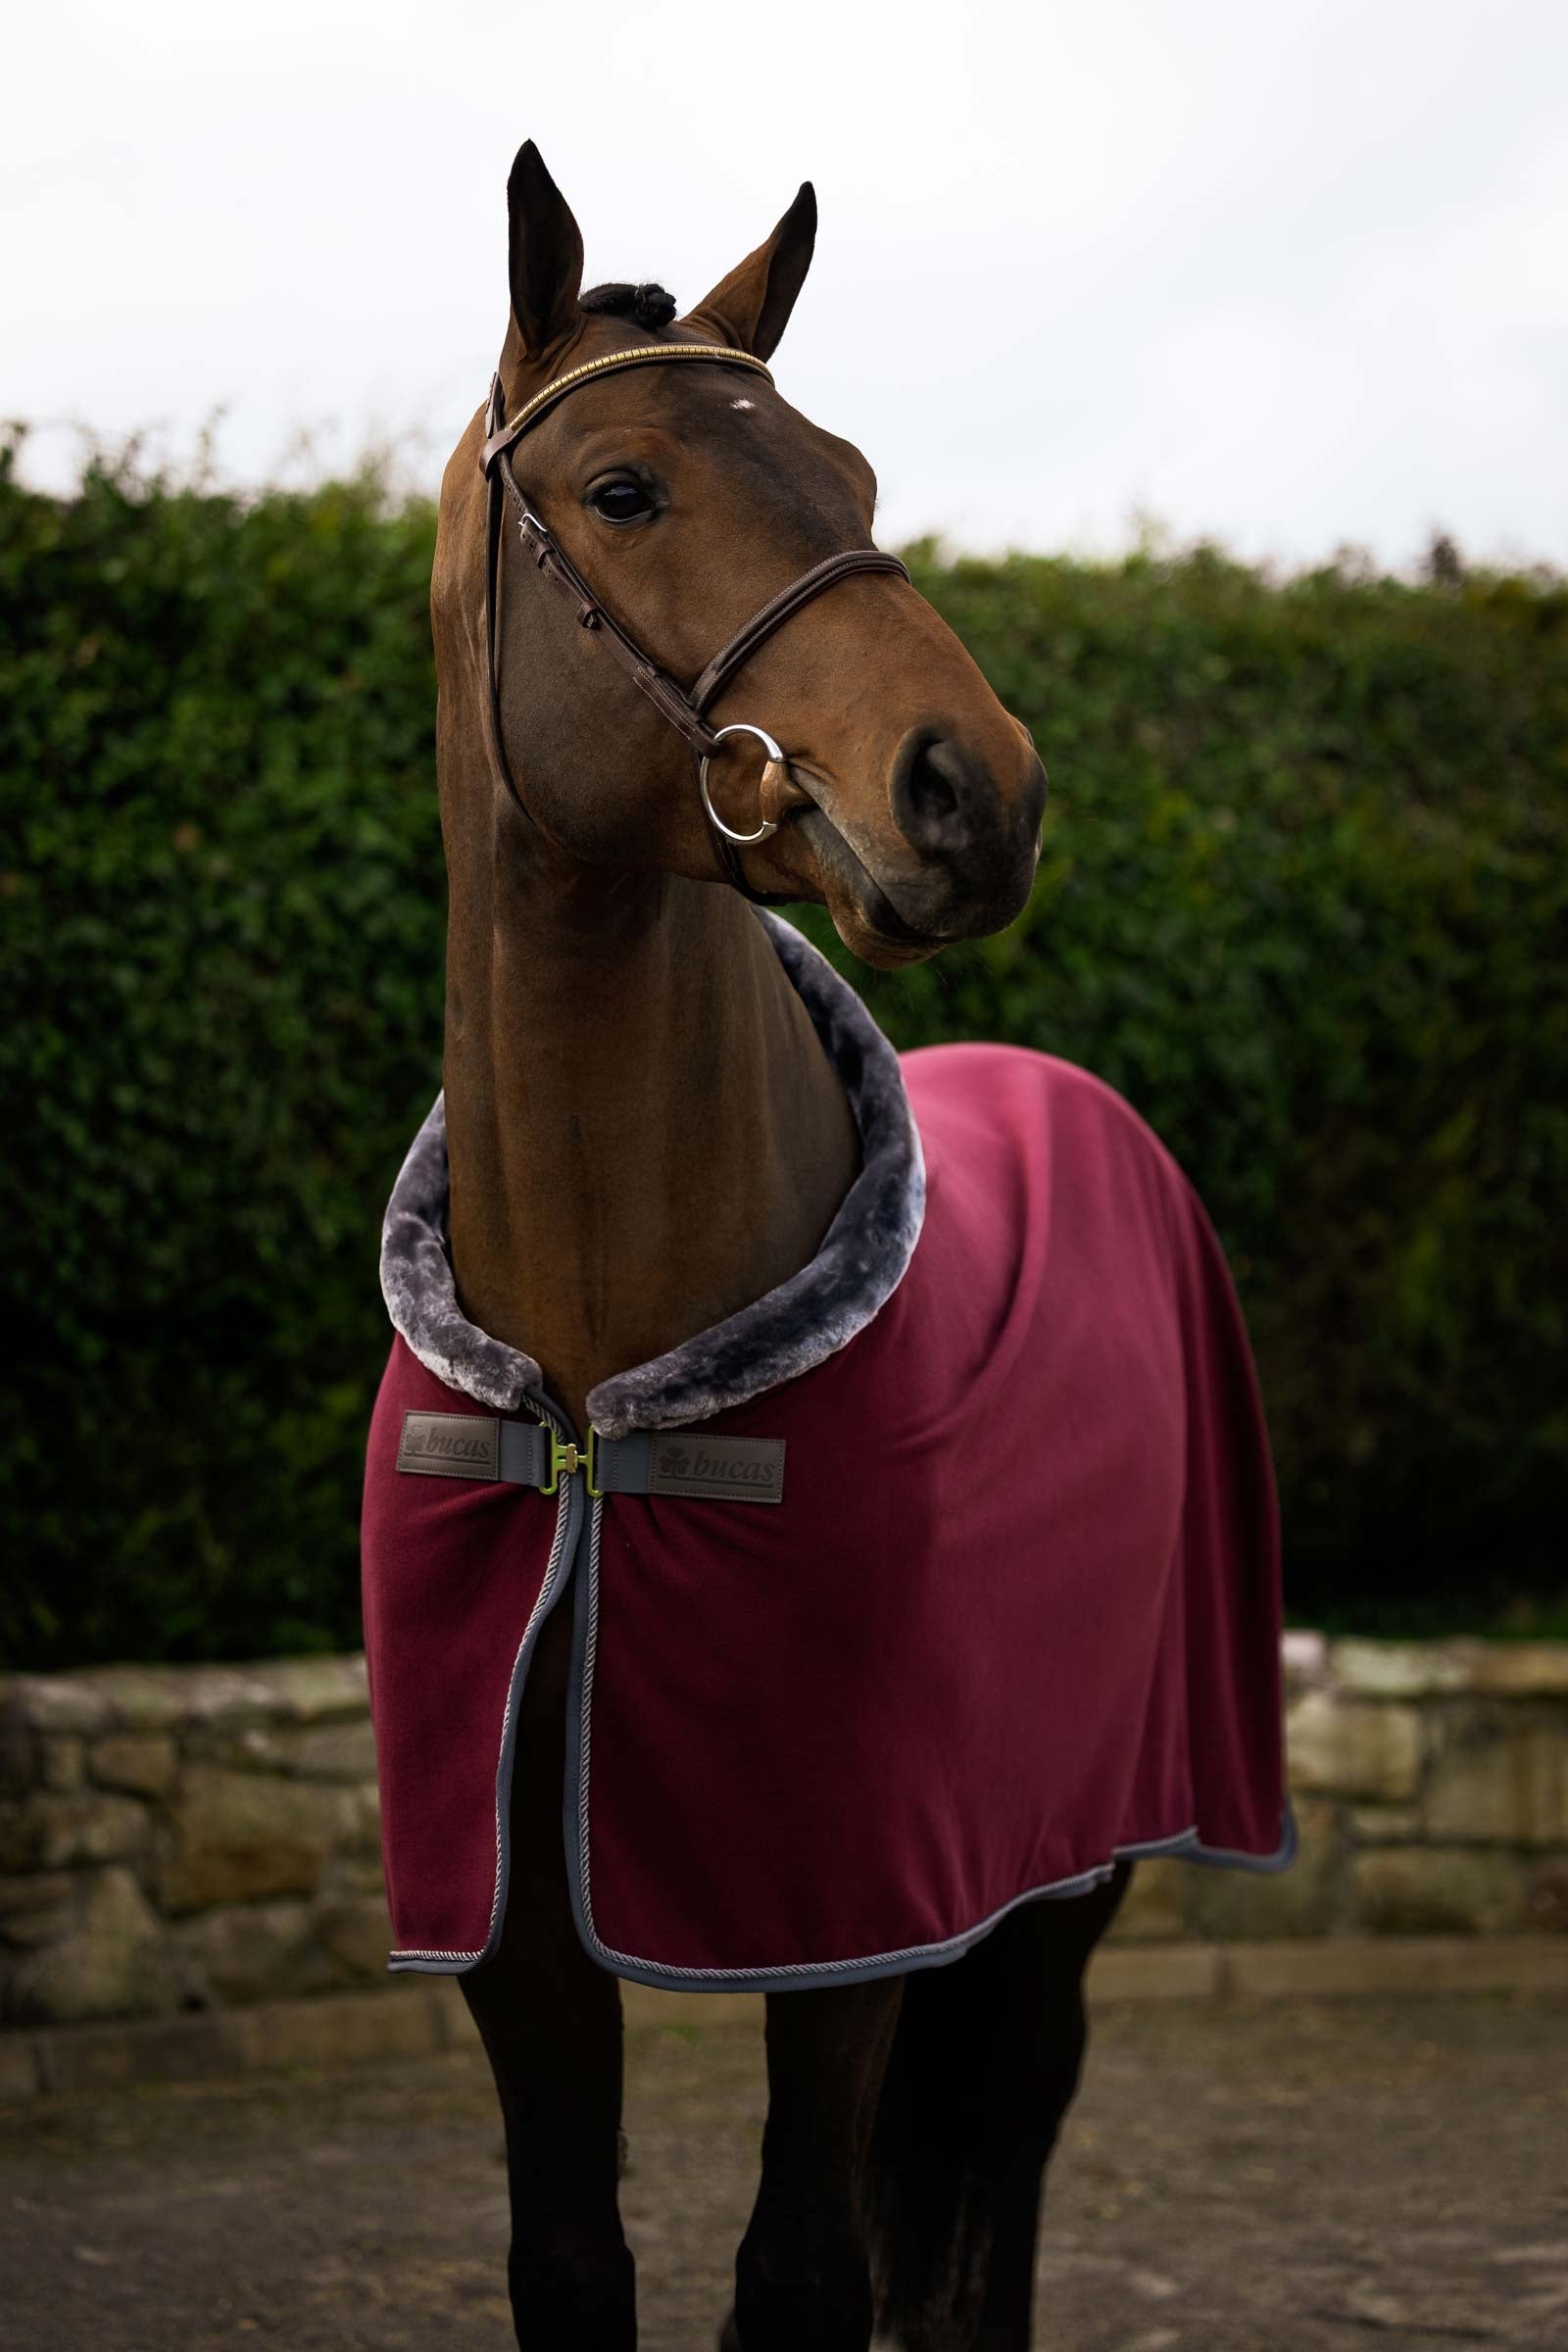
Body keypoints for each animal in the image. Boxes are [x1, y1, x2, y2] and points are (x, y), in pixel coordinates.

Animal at [359, 138, 1289, 2351]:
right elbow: (570, 2264)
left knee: (993, 2182)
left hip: (1062, 1884)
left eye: (852, 477)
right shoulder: (522, 1937)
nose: (975, 794)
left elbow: (804, 2271)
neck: (595, 1386)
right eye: (625, 489)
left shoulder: (846, 1921)